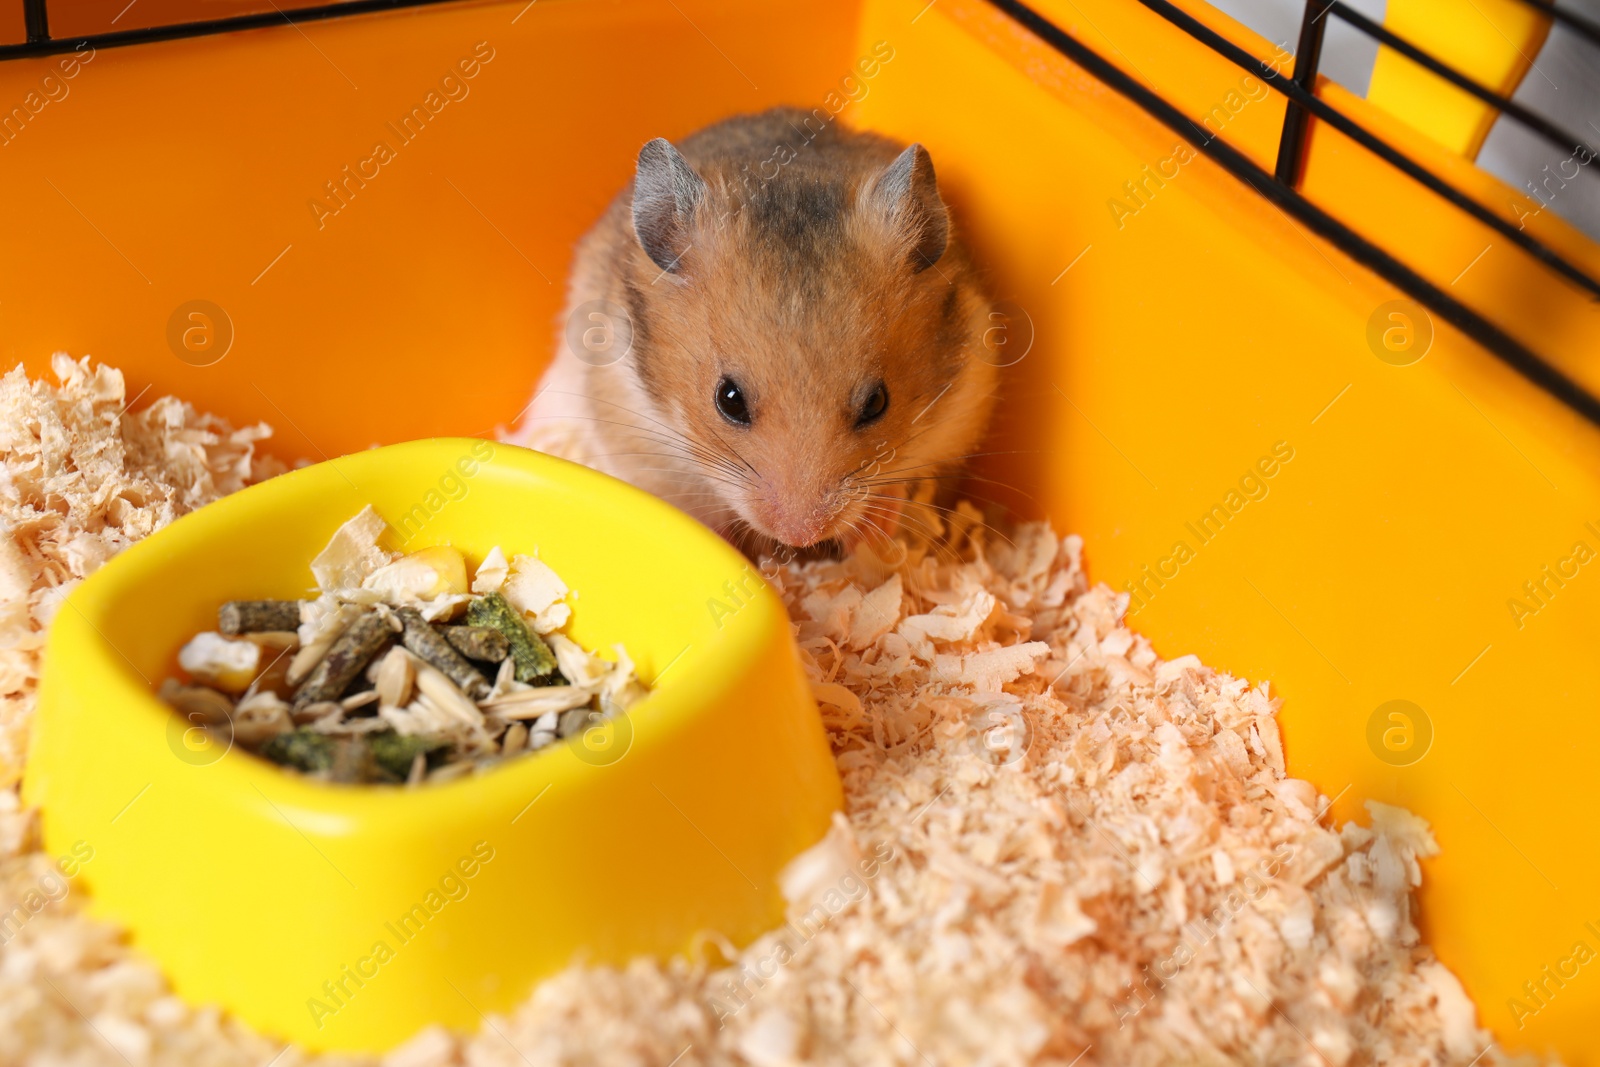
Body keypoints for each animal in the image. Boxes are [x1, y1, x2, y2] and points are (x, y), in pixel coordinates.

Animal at [521, 108, 998, 559]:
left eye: (878, 403)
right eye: (729, 399)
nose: (801, 536)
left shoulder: (959, 418)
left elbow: (910, 478)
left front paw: (874, 529)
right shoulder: (637, 438)